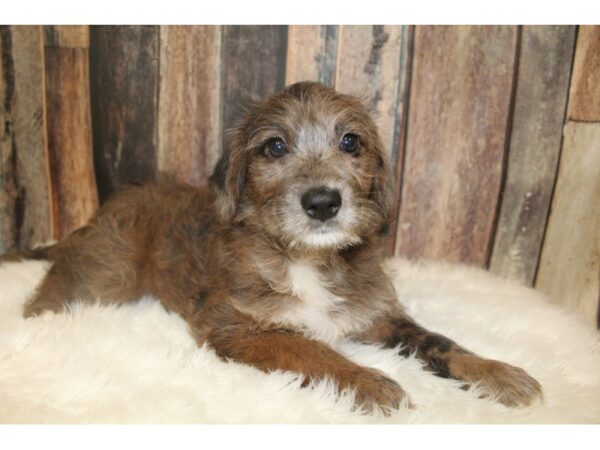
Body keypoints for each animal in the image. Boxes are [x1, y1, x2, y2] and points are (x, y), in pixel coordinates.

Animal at [18, 81, 540, 414]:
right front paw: (368, 381)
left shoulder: (378, 314)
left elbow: (439, 341)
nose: (323, 202)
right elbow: (310, 350)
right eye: (274, 148)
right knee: (58, 283)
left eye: (351, 142)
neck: (306, 258)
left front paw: (497, 373)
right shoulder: (237, 327)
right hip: (108, 273)